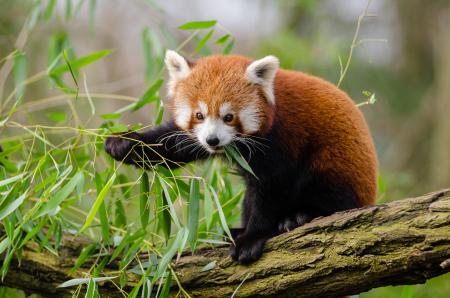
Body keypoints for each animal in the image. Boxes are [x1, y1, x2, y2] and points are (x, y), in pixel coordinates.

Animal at [104, 50, 376, 264]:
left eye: (228, 117)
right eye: (199, 115)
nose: (212, 140)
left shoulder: (281, 141)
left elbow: (272, 189)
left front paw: (253, 237)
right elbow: (171, 145)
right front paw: (123, 143)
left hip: (336, 165)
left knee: (328, 189)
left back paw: (300, 216)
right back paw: (235, 230)